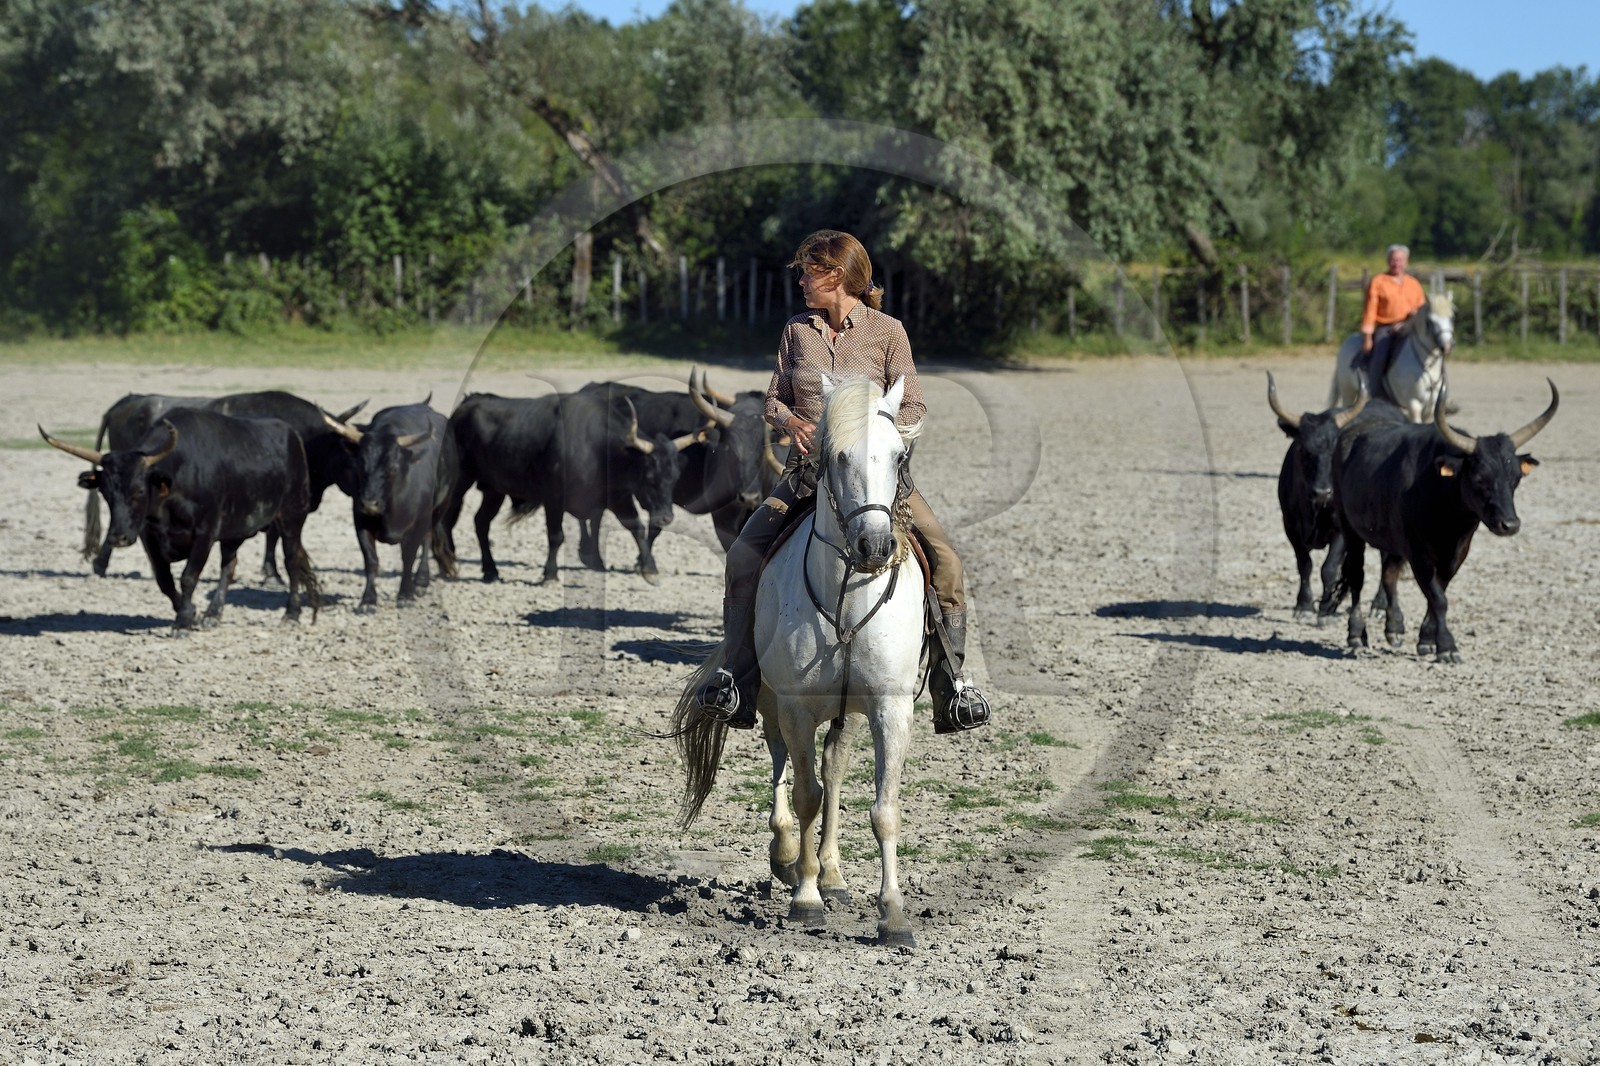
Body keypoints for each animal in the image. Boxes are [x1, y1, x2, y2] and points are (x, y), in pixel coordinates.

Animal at [672, 375, 928, 947]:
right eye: (836, 456)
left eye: (898, 455)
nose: (874, 546)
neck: (847, 599)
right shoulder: (794, 706)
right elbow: (805, 794)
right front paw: (805, 896)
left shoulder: (889, 708)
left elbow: (884, 809)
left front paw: (892, 914)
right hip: (770, 703)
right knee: (783, 765)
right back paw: (789, 857)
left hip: (846, 712)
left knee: (833, 770)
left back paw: (832, 874)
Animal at [1329, 292, 1455, 422]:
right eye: (1430, 320)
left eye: (1452, 318)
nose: (1447, 345)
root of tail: (1346, 342)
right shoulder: (1414, 405)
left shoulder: (1430, 408)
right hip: (1348, 391)